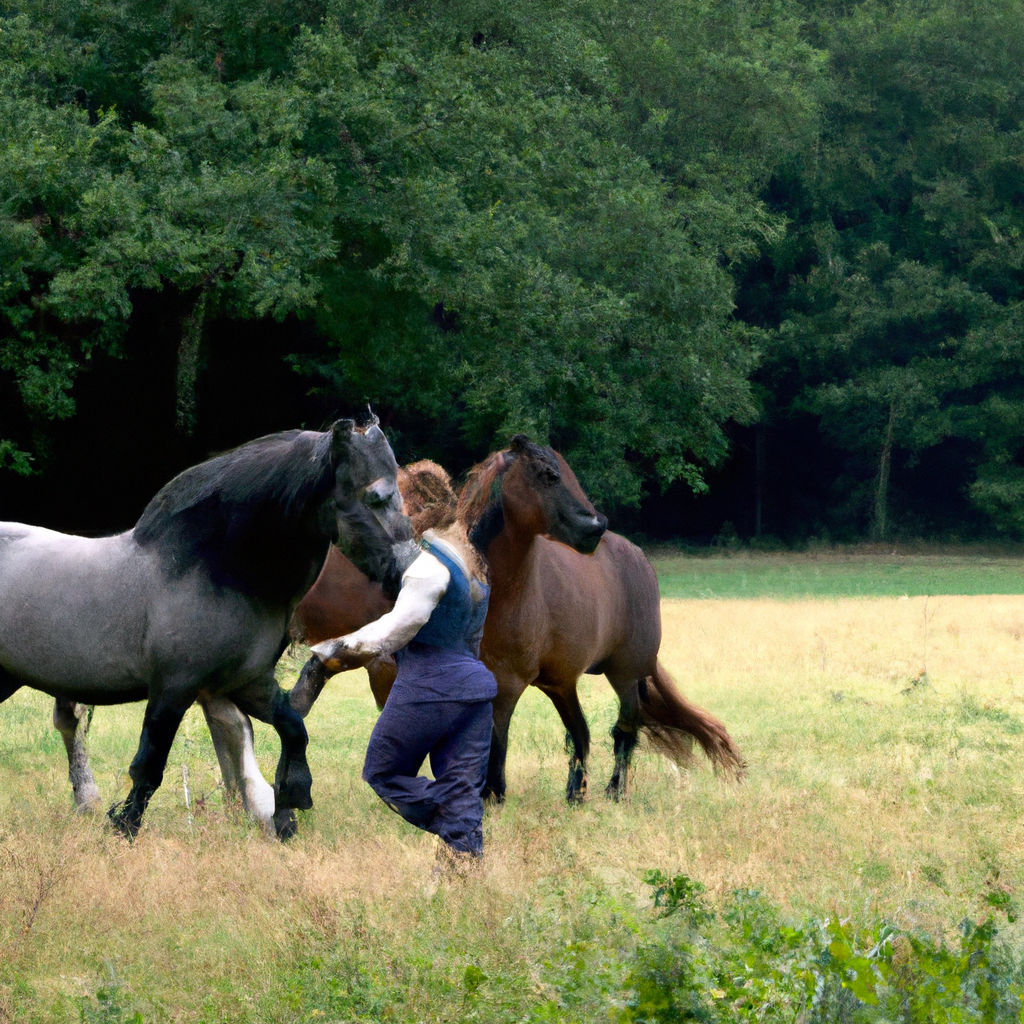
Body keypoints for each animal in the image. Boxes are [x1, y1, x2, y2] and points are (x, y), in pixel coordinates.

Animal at [2, 417, 415, 839]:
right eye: (376, 497)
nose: (407, 570)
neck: (211, 569)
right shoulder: (173, 689)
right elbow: (149, 766)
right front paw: (123, 829)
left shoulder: (244, 683)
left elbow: (292, 727)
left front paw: (288, 804)